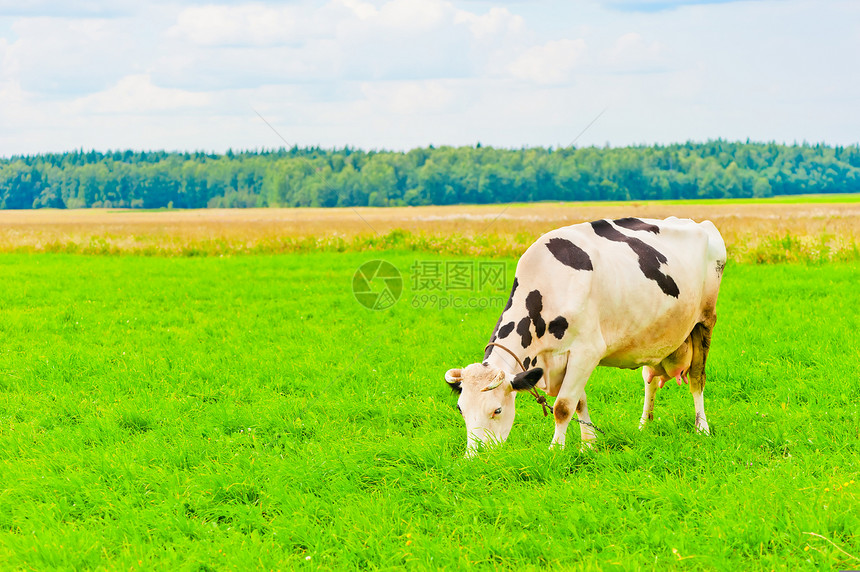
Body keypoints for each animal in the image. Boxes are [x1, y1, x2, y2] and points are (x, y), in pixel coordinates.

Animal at [444, 217, 724, 458]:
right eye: (461, 409)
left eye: (497, 410)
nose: (474, 457)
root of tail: (699, 224)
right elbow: (579, 401)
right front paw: (589, 444)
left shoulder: (586, 352)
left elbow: (563, 406)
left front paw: (555, 451)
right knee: (650, 381)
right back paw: (644, 424)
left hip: (704, 321)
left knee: (697, 379)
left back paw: (702, 428)